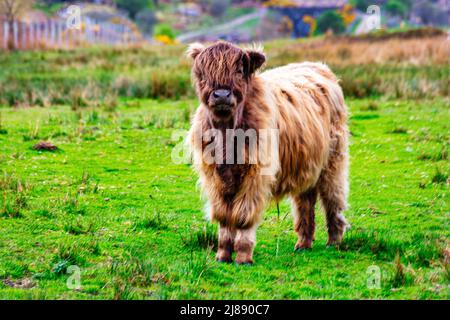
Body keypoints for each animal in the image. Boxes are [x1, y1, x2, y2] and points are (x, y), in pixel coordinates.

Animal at [188, 40, 350, 264]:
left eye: (239, 70)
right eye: (202, 73)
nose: (221, 95)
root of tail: (319, 67)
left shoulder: (255, 174)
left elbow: (243, 215)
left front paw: (243, 256)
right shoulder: (216, 177)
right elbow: (224, 216)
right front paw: (222, 254)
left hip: (333, 161)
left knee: (333, 198)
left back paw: (333, 241)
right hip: (306, 163)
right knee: (305, 201)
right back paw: (303, 243)